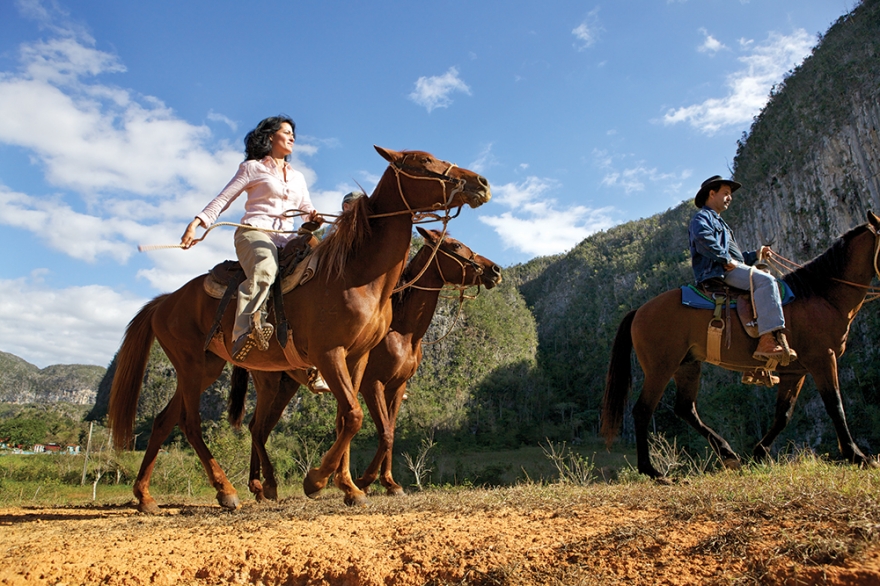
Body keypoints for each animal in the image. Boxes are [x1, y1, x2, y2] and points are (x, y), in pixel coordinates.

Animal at [227, 226, 502, 500]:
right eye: (456, 246)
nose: (495, 270)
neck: (402, 331)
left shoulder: (396, 388)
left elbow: (389, 431)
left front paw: (388, 482)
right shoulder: (373, 385)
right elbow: (385, 432)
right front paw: (364, 480)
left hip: (285, 387)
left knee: (259, 428)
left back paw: (259, 487)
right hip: (270, 384)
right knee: (257, 428)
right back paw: (262, 486)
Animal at [600, 211, 880, 480]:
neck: (821, 296)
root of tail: (639, 311)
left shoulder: (794, 370)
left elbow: (783, 414)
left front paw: (759, 453)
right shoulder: (823, 358)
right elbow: (835, 405)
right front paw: (858, 456)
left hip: (687, 365)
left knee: (685, 408)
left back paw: (728, 454)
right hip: (661, 367)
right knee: (642, 410)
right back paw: (654, 472)